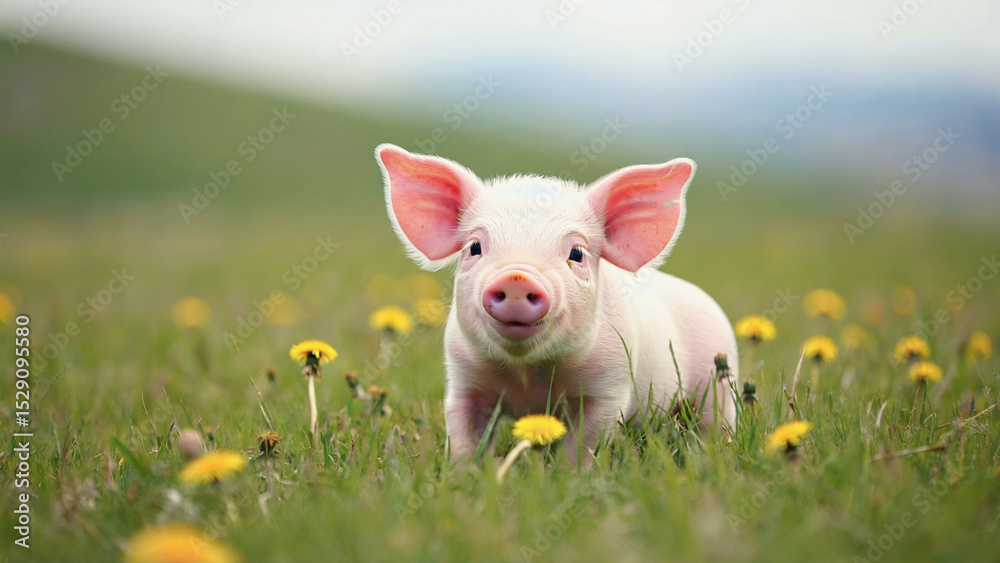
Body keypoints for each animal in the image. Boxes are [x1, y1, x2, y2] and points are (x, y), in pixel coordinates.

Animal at [375, 143, 738, 466]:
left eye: (576, 253)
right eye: (474, 247)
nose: (517, 277)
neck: (528, 376)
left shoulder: (609, 388)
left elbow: (583, 445)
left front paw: (569, 476)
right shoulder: (463, 380)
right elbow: (464, 441)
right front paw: (462, 478)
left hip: (718, 385)